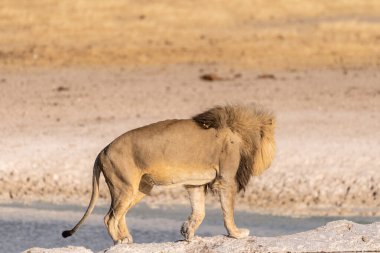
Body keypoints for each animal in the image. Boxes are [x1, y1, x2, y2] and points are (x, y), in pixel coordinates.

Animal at [62, 104, 276, 244]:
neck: (238, 131)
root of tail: (102, 150)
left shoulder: (195, 183)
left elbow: (199, 211)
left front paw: (188, 233)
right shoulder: (226, 179)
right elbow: (227, 211)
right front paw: (236, 233)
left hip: (139, 188)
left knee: (119, 214)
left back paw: (126, 239)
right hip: (124, 186)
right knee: (109, 217)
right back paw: (120, 241)